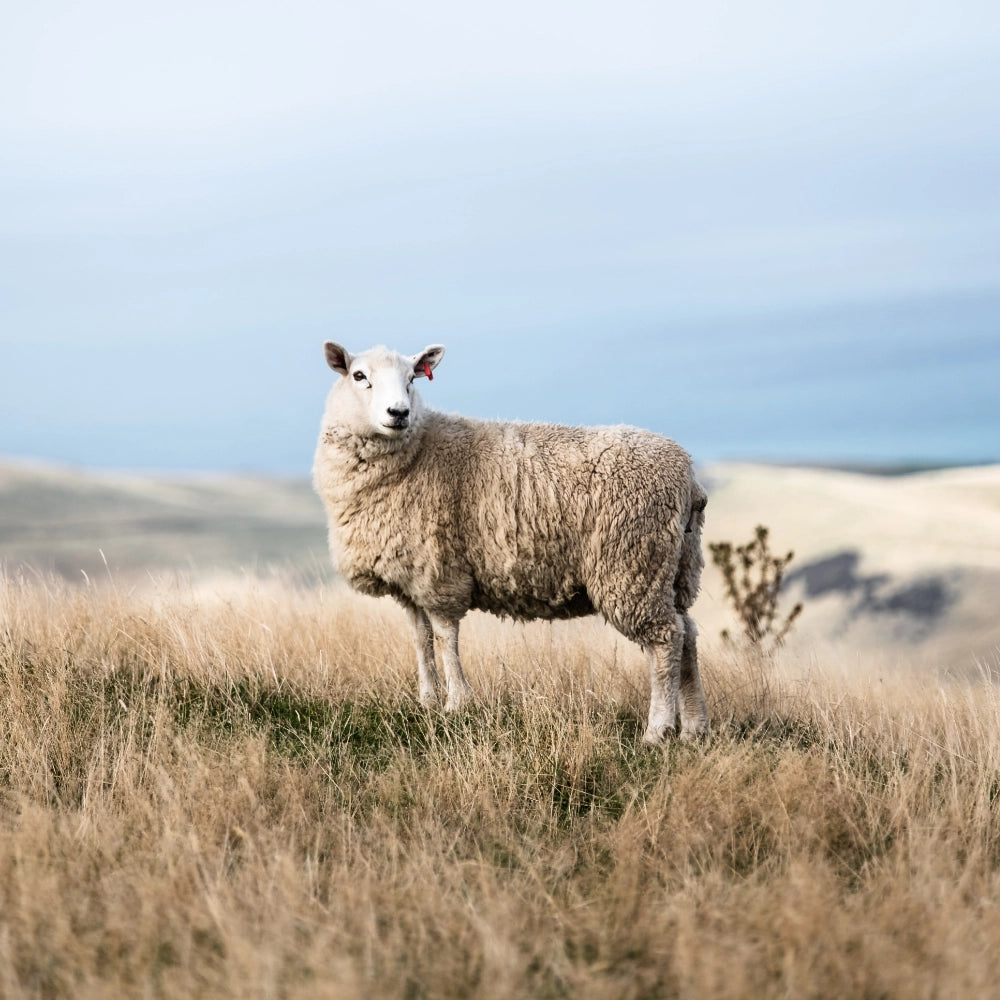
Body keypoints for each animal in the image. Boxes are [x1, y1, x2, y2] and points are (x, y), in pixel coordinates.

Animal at [313, 342, 709, 742]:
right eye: (359, 376)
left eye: (412, 378)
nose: (399, 413)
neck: (419, 450)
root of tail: (688, 477)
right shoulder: (410, 579)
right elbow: (421, 639)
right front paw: (427, 701)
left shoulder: (440, 573)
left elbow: (445, 638)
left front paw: (456, 703)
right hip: (674, 568)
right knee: (687, 634)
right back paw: (694, 728)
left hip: (632, 565)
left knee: (665, 639)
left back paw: (658, 730)